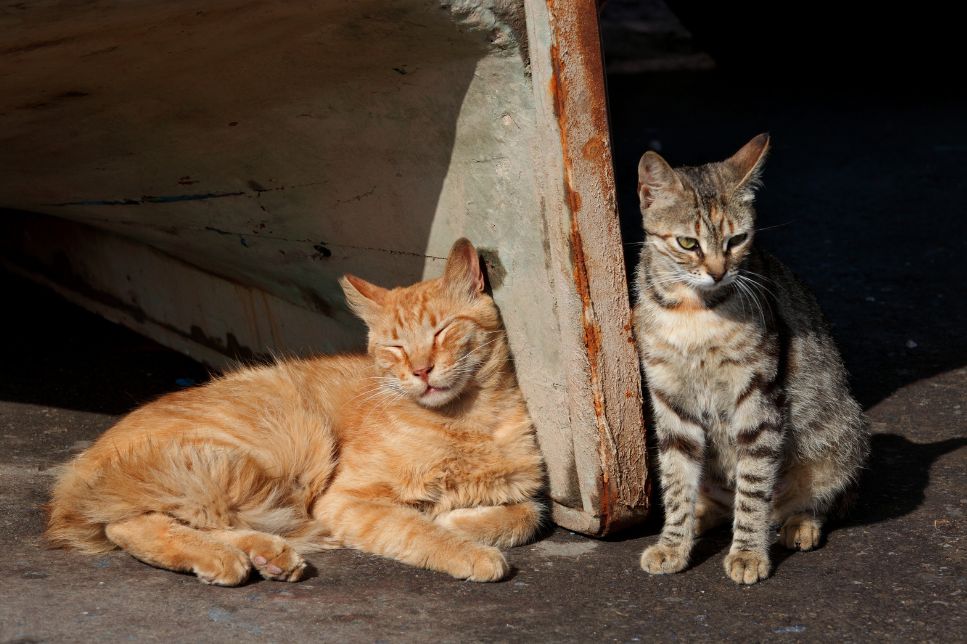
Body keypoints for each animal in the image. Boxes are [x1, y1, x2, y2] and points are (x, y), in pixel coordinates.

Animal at [47, 239, 544, 588]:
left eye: (442, 331)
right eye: (395, 347)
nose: (421, 370)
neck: (466, 423)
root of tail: (81, 465)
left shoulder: (521, 486)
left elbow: (527, 515)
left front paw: (459, 520)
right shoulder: (347, 500)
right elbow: (417, 529)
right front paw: (466, 547)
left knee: (158, 519)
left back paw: (264, 555)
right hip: (279, 447)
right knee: (135, 521)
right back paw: (224, 557)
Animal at [636, 135, 868, 584]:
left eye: (737, 239)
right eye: (688, 243)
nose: (717, 271)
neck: (694, 311)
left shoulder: (758, 398)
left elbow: (754, 486)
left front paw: (747, 552)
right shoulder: (670, 398)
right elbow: (676, 480)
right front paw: (673, 543)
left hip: (841, 435)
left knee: (811, 500)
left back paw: (799, 523)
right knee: (715, 498)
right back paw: (700, 517)